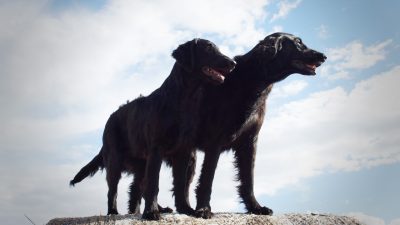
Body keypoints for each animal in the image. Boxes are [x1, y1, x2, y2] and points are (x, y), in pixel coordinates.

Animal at [70, 38, 236, 220]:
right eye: (208, 48)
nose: (233, 63)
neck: (183, 101)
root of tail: (111, 118)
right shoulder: (156, 149)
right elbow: (154, 184)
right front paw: (151, 212)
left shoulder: (183, 151)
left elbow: (179, 184)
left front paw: (185, 209)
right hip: (115, 160)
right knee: (113, 190)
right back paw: (113, 212)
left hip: (141, 164)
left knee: (138, 187)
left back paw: (154, 209)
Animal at [190, 32, 324, 218]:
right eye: (298, 43)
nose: (323, 56)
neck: (251, 81)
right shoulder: (215, 141)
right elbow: (207, 178)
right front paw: (203, 208)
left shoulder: (249, 141)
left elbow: (248, 179)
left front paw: (255, 207)